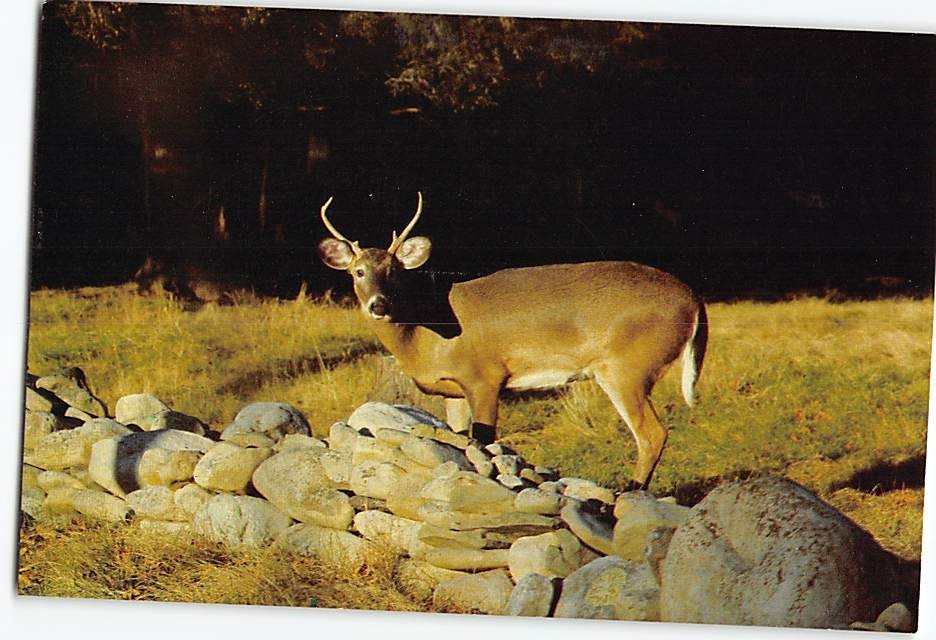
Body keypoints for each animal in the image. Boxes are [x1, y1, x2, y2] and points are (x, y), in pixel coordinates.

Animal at [317, 193, 708, 490]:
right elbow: (458, 439)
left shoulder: (485, 376)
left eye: (395, 271)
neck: (424, 334)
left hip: (627, 367)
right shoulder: (453, 390)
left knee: (652, 434)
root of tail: (694, 300)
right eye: (358, 272)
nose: (379, 304)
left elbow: (484, 441)